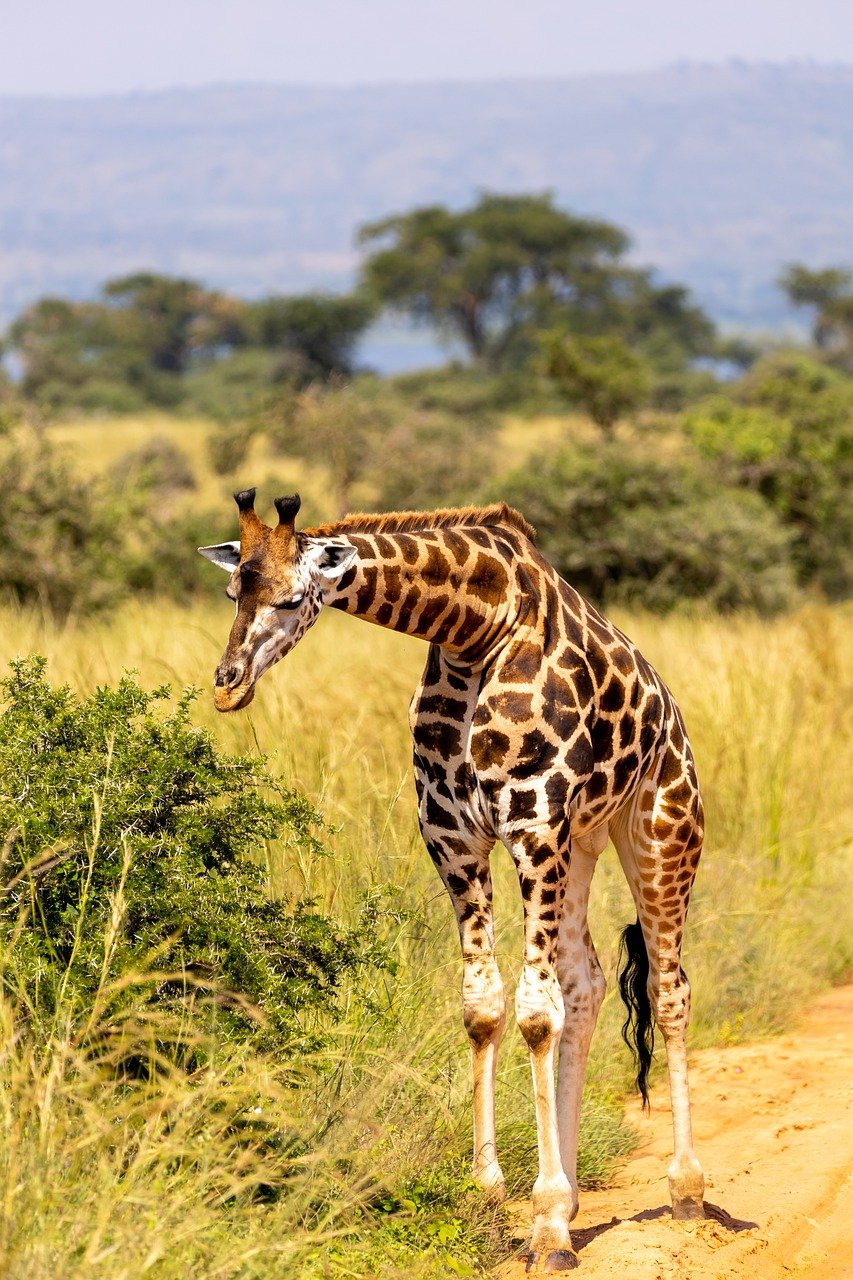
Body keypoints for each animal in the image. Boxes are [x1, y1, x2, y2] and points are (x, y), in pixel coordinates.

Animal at [199, 486, 701, 1269]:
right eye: (233, 592)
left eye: (289, 598)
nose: (227, 687)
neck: (476, 627)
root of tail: (674, 722)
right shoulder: (454, 838)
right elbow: (484, 1006)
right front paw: (492, 1192)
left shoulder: (532, 826)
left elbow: (533, 1013)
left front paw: (546, 1224)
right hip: (584, 842)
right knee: (586, 984)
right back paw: (578, 1190)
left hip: (659, 830)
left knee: (667, 988)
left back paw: (684, 1188)